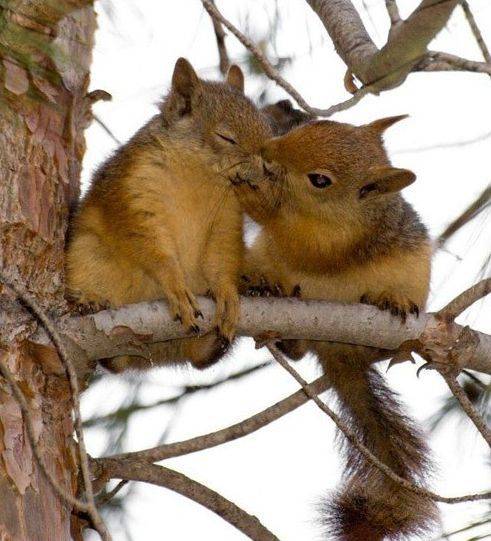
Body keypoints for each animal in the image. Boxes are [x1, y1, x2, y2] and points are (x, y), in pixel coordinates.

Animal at [65, 58, 272, 372]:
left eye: (266, 127)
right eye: (226, 137)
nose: (267, 168)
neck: (200, 178)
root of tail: (157, 356)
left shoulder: (227, 216)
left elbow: (221, 255)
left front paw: (226, 291)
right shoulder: (134, 191)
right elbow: (150, 245)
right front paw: (175, 285)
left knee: (198, 359)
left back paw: (218, 336)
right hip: (86, 256)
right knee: (114, 362)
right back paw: (89, 303)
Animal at [234, 117, 438, 540]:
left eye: (320, 180)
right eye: (311, 126)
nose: (268, 150)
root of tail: (337, 351)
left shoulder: (336, 240)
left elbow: (305, 243)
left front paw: (254, 196)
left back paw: (389, 302)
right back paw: (273, 305)